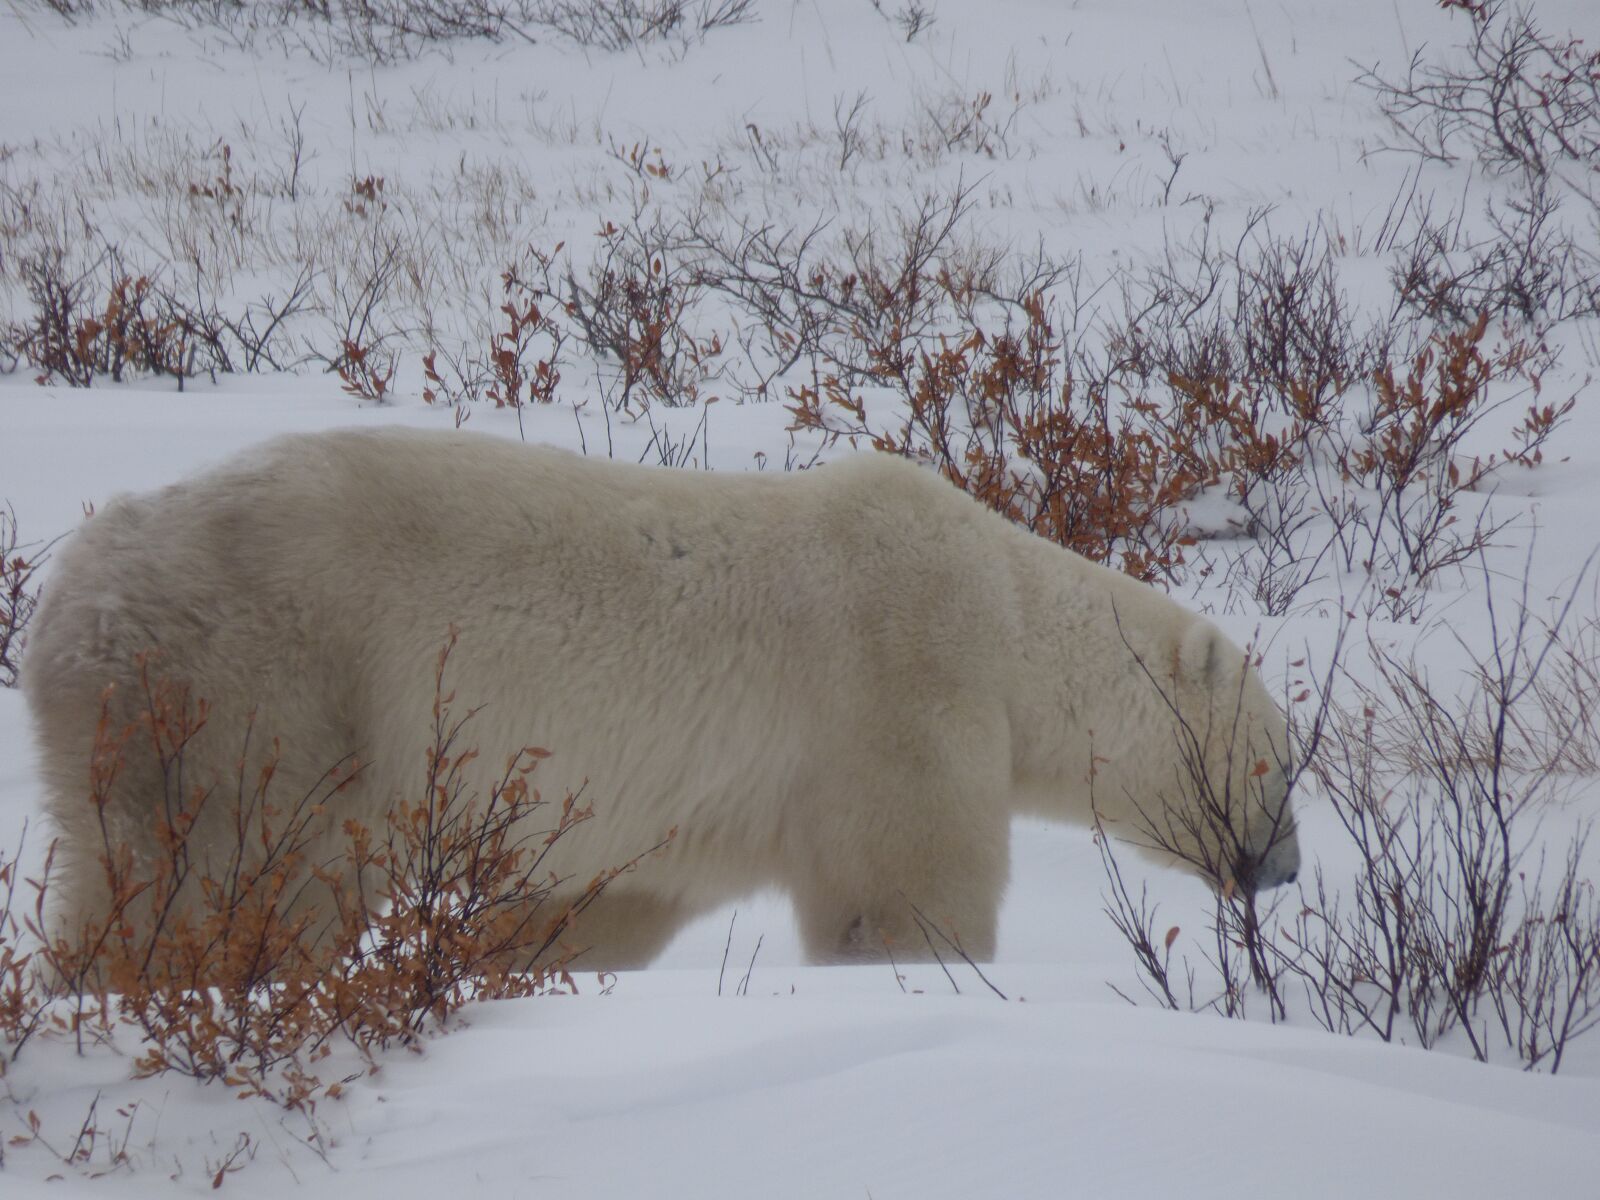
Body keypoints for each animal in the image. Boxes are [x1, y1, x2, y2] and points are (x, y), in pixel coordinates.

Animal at [25, 428, 1299, 972]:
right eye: (1281, 766)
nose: (1283, 870)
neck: (1003, 612)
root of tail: (69, 598)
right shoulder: (899, 691)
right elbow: (902, 896)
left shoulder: (694, 815)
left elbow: (600, 905)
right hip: (258, 692)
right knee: (235, 875)